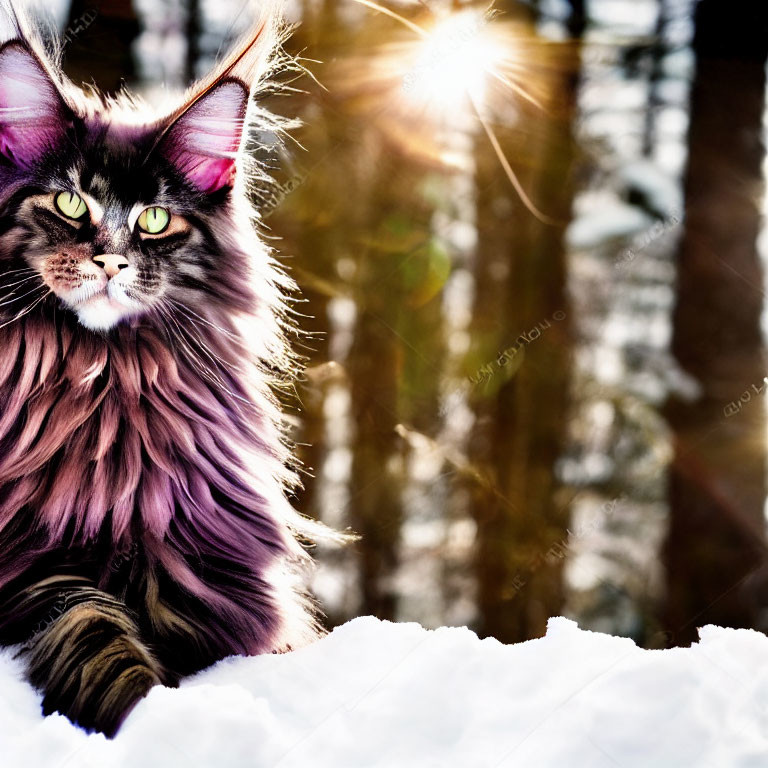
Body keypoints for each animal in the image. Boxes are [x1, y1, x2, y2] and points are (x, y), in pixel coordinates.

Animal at [0, 0, 330, 736]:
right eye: (70, 204)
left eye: (154, 219)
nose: (111, 261)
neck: (105, 386)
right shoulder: (27, 562)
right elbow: (93, 629)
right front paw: (147, 716)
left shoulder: (206, 566)